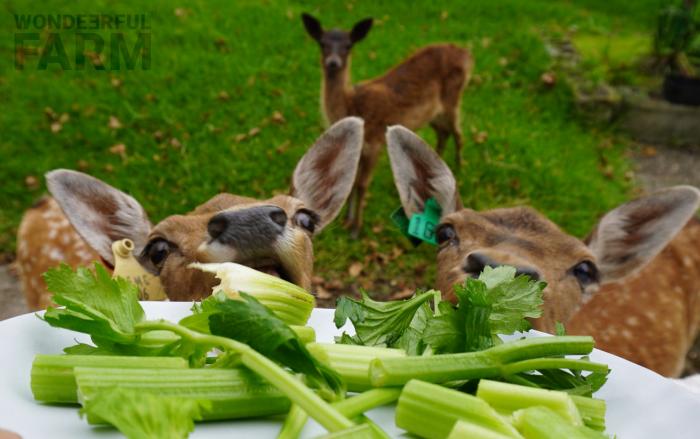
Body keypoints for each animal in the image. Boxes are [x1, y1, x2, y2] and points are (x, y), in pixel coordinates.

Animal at [302, 12, 474, 237]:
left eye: (348, 45)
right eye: (322, 43)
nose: (333, 62)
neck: (354, 106)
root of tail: (466, 54)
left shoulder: (374, 143)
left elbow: (362, 184)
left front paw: (356, 229)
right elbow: (352, 182)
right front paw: (347, 221)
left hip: (453, 98)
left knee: (458, 133)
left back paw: (459, 168)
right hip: (433, 114)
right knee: (443, 133)